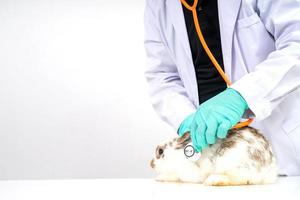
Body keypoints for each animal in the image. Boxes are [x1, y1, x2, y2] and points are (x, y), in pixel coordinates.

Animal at [150, 126, 278, 186]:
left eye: (160, 151)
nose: (151, 164)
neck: (178, 155)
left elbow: (175, 176)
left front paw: (160, 177)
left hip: (228, 161)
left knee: (241, 179)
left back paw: (213, 181)